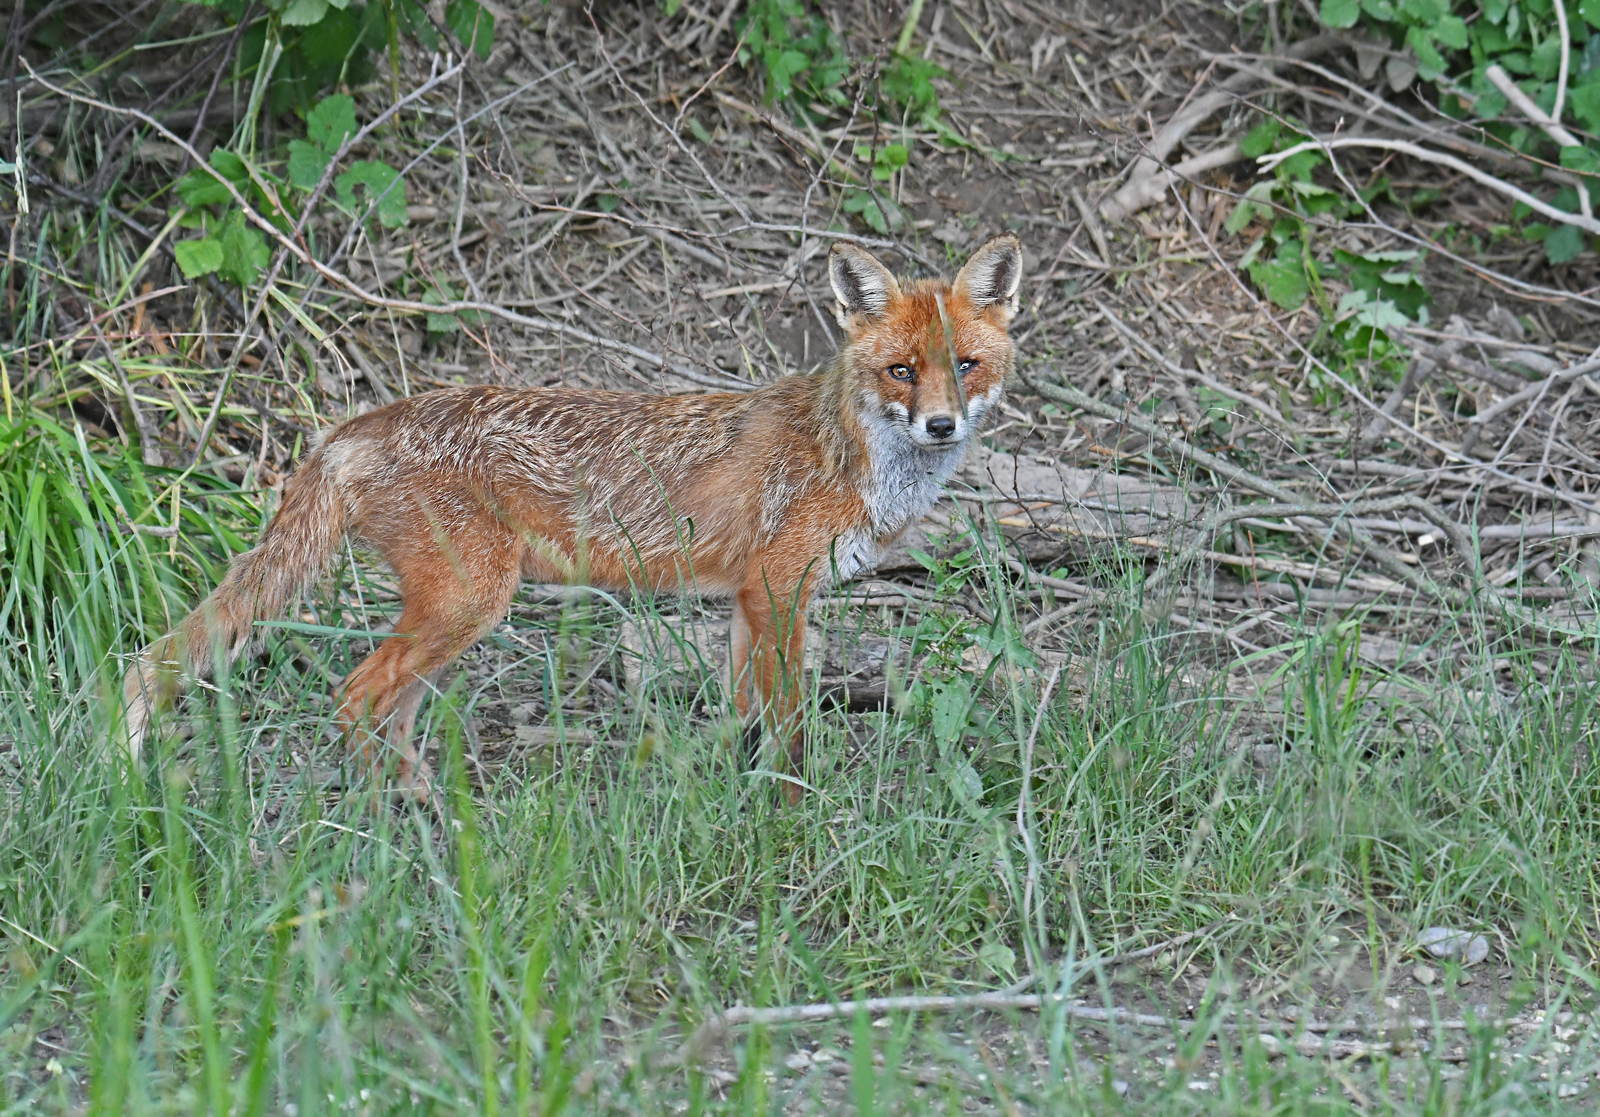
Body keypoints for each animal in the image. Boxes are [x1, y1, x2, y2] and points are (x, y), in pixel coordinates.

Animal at [120, 234, 1023, 802]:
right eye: (901, 370)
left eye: (966, 365)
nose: (941, 426)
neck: (850, 456)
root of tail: (355, 424)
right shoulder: (777, 590)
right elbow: (788, 722)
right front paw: (791, 810)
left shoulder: (746, 601)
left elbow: (742, 718)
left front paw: (743, 800)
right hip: (470, 604)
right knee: (354, 695)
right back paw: (381, 824)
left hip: (453, 619)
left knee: (391, 712)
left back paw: (424, 810)